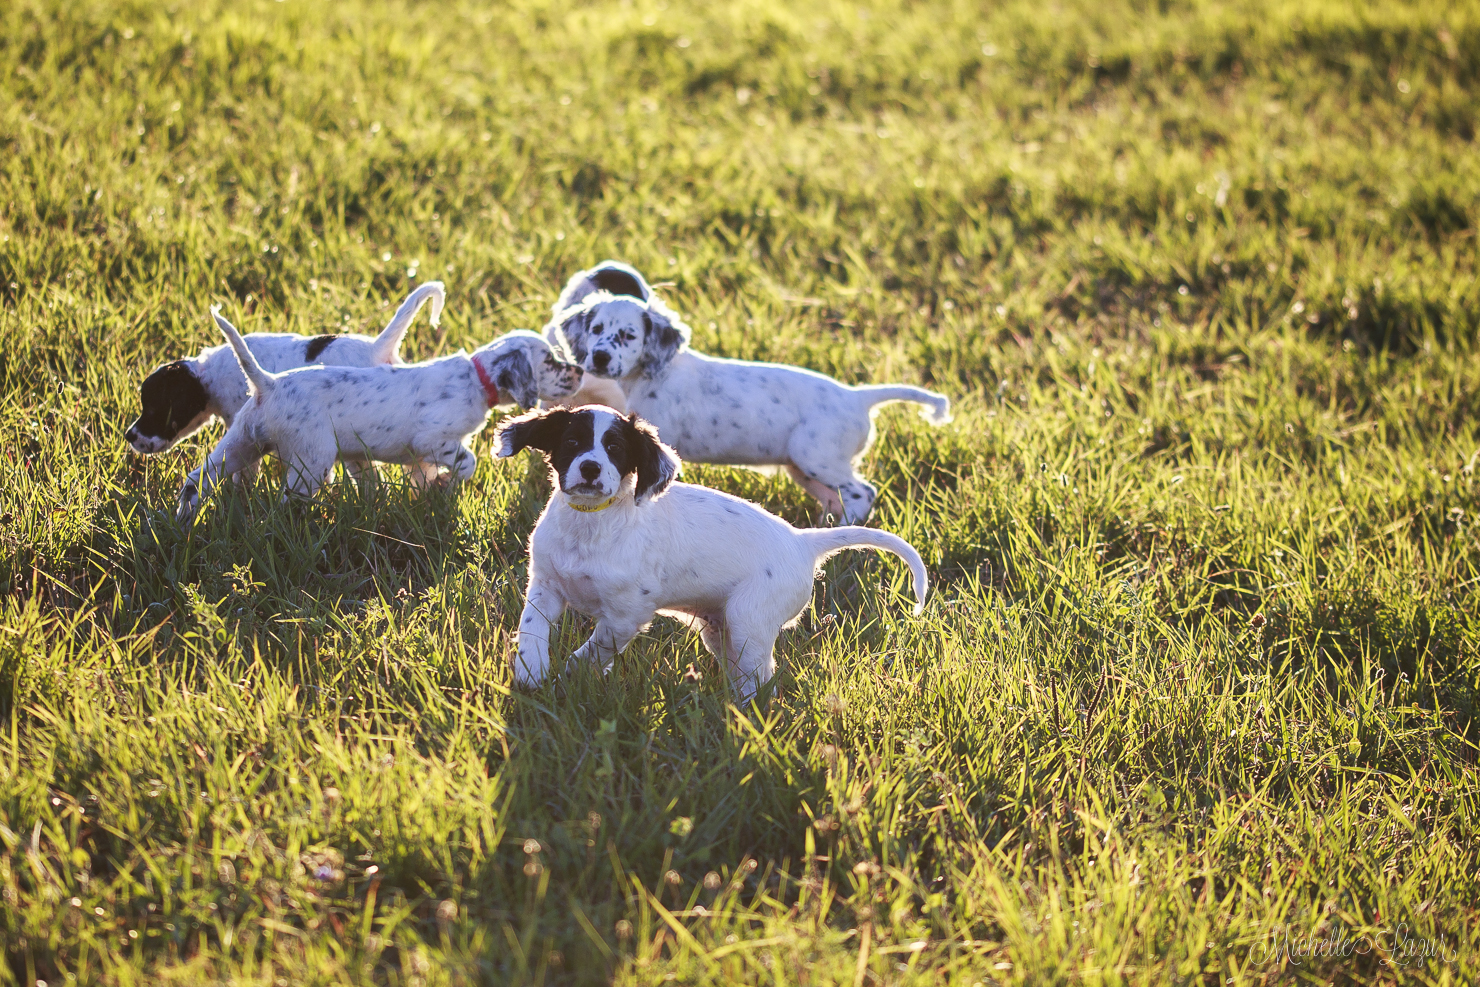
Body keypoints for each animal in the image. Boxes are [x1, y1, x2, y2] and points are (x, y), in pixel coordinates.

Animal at [177, 310, 583, 517]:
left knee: (196, 481)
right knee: (287, 500)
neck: (475, 378)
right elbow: (467, 462)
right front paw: (447, 485)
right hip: (312, 458)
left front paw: (429, 492)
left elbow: (423, 475)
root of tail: (269, 383)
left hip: (240, 442)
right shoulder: (433, 439)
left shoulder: (423, 454)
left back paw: (182, 522)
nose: (579, 370)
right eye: (550, 361)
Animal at [500, 405, 935, 698]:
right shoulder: (545, 585)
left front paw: (562, 680)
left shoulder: (625, 616)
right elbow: (531, 629)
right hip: (719, 628)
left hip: (749, 620)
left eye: (616, 448)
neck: (588, 526)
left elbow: (589, 653)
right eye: (571, 442)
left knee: (760, 680)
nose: (590, 469)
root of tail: (801, 539)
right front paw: (531, 674)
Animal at [550, 281, 953, 520]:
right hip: (802, 467)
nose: (599, 357)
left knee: (862, 492)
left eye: (629, 335)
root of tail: (857, 397)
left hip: (817, 456)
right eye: (596, 330)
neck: (658, 372)